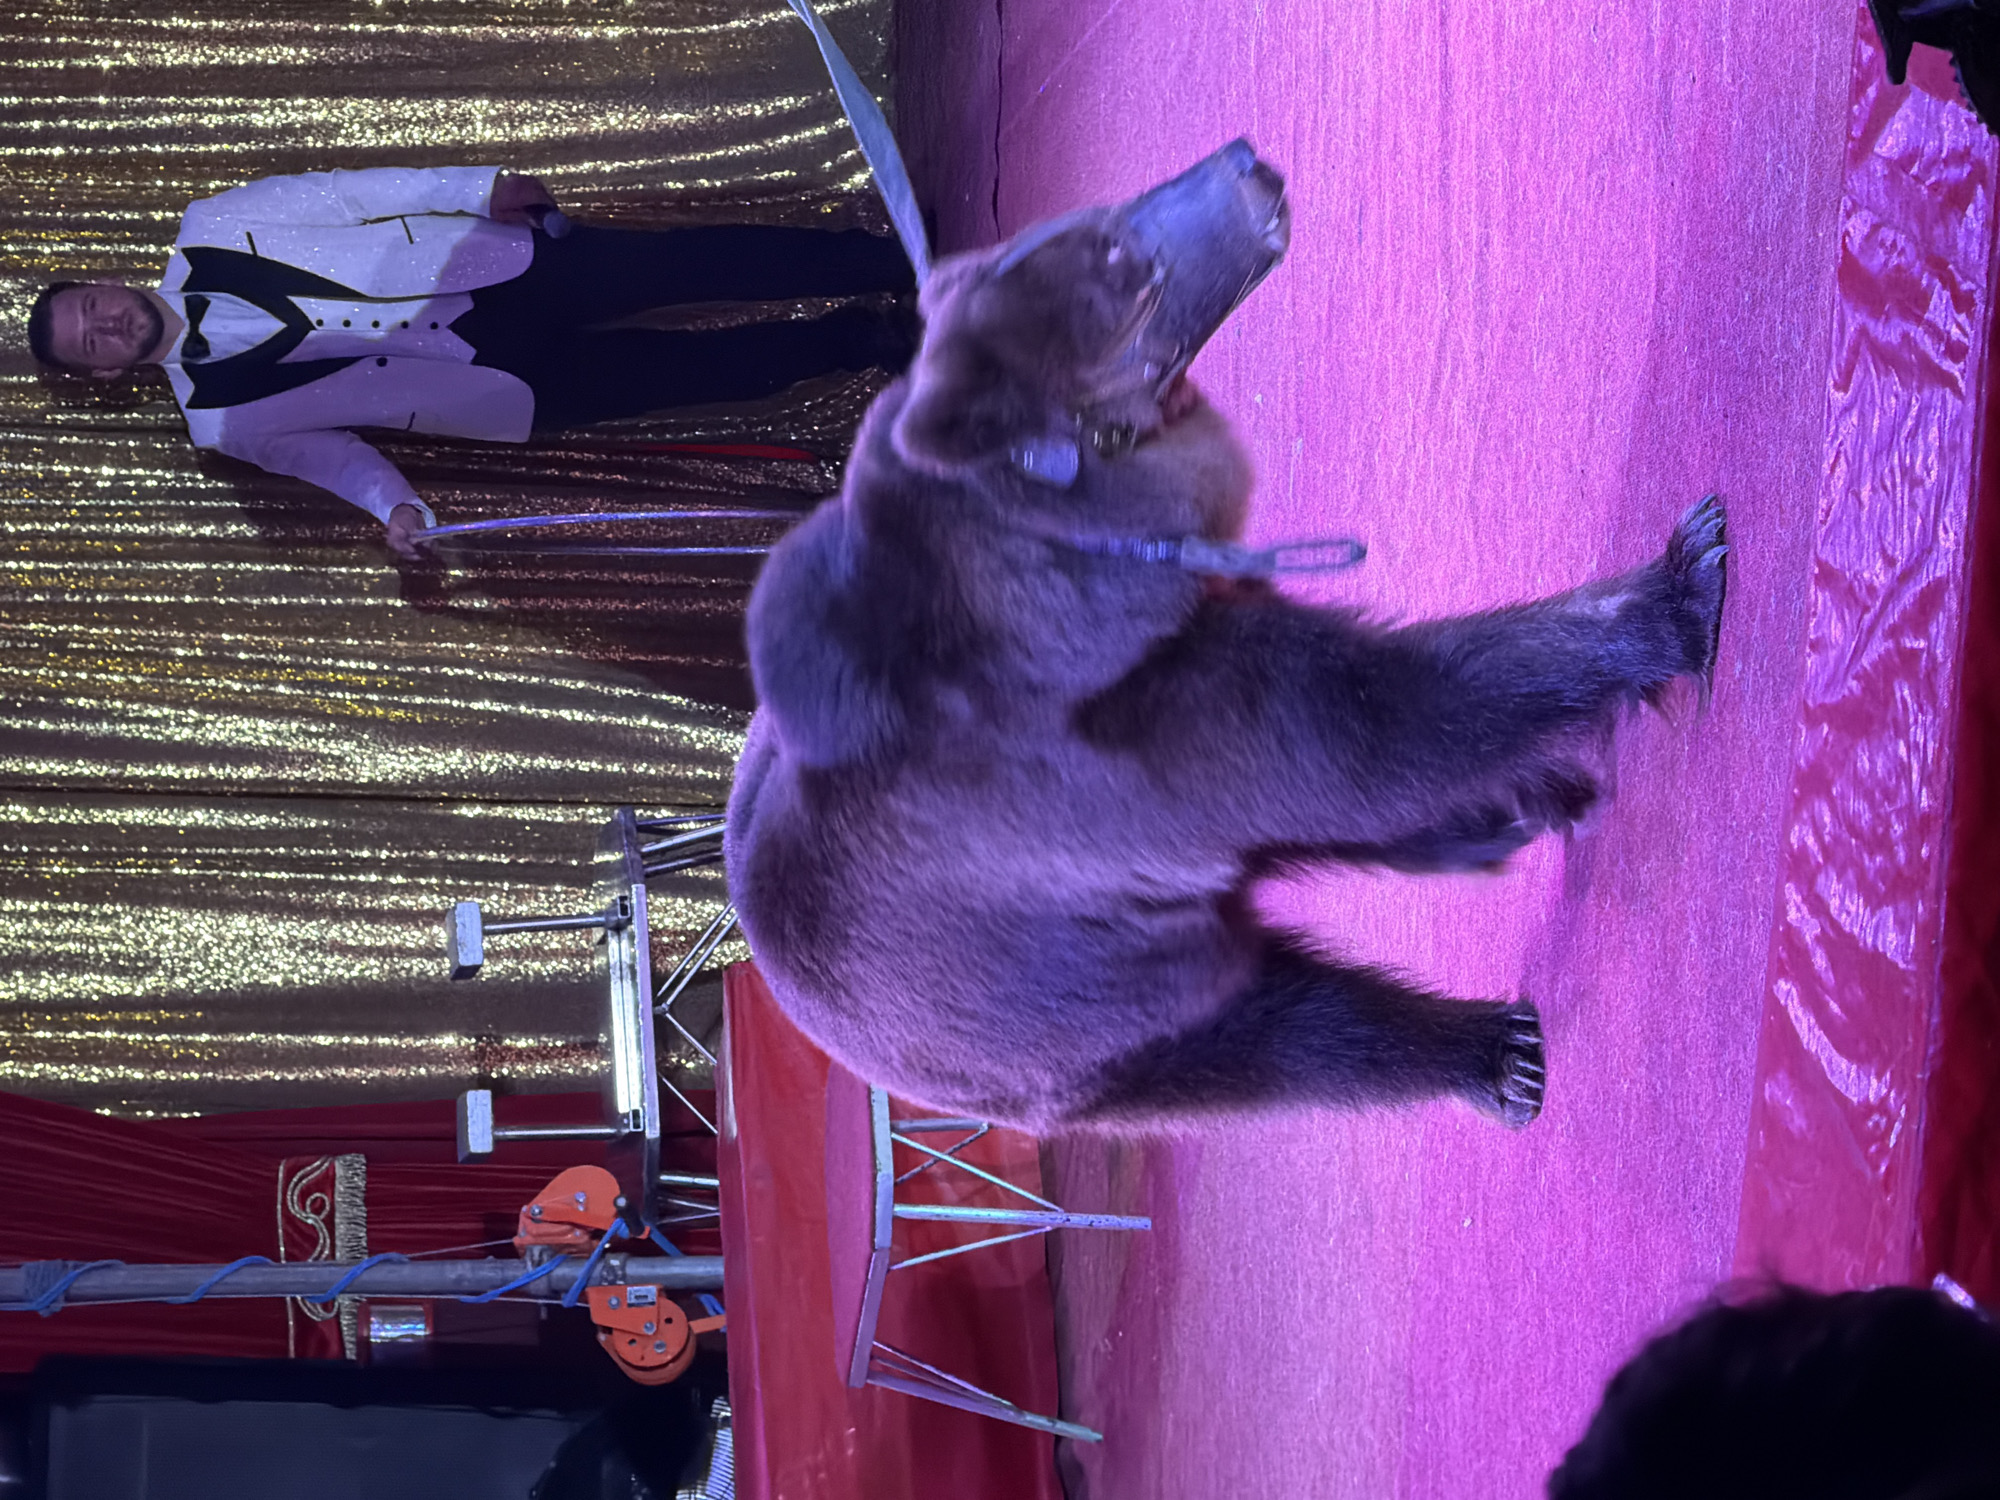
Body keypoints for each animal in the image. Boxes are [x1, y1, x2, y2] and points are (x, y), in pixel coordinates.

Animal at [724, 139, 1726, 1134]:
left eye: (1094, 216)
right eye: (1122, 263)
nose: (1248, 167)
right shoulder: (1079, 746)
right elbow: (1370, 728)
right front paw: (1686, 583)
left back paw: (1501, 818)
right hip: (1057, 1014)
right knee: (1291, 1033)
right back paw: (1495, 1050)